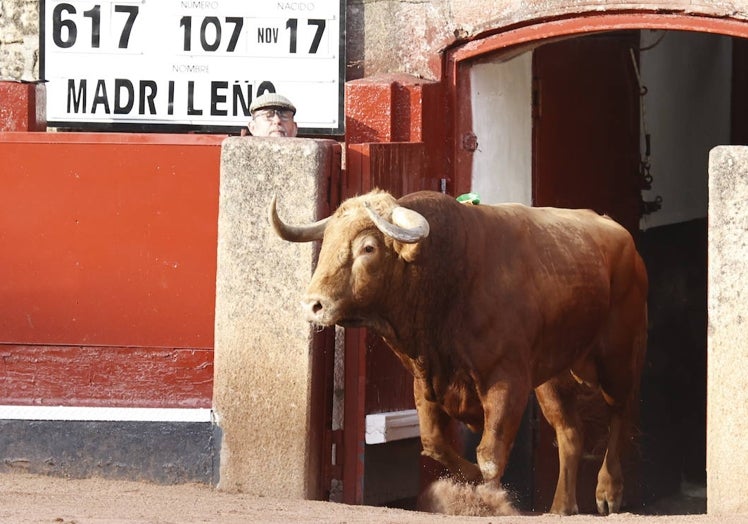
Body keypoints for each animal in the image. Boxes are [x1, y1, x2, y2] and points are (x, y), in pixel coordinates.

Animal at [270, 189, 648, 516]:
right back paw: (561, 507)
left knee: (621, 411)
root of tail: (621, 236)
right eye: (328, 241)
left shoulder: (506, 379)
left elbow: (491, 453)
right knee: (570, 433)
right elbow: (434, 442)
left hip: (617, 356)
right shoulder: (425, 380)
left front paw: (487, 500)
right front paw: (469, 482)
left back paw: (608, 491)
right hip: (553, 377)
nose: (314, 304)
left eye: (368, 247)